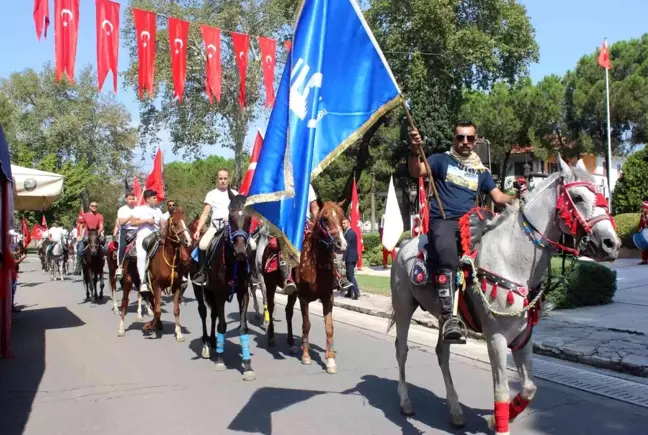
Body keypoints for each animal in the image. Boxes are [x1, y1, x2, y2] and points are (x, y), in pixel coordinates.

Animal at [142, 208, 191, 340]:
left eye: (186, 221)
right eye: (175, 223)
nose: (188, 240)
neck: (169, 260)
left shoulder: (177, 286)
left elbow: (176, 309)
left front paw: (179, 333)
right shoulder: (156, 286)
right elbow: (157, 310)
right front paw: (149, 326)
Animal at [284, 202, 350, 374]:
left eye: (342, 218)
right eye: (325, 219)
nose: (341, 244)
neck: (316, 263)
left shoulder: (328, 297)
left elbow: (329, 327)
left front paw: (330, 360)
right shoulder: (304, 298)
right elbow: (306, 325)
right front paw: (306, 356)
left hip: (293, 294)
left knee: (288, 311)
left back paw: (292, 344)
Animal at [388, 155, 620, 434]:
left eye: (601, 196)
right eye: (577, 197)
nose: (611, 243)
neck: (511, 259)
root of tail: (404, 247)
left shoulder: (523, 336)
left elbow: (529, 388)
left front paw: (496, 418)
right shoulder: (496, 337)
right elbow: (501, 389)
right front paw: (499, 423)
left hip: (445, 318)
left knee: (442, 353)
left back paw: (455, 411)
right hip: (403, 307)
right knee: (401, 350)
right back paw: (405, 402)